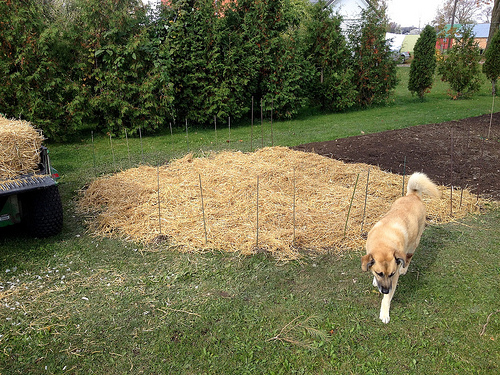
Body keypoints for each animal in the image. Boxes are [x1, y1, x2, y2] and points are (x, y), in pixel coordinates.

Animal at [362, 173, 440, 324]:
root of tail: (413, 195)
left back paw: (404, 268)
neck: (383, 242)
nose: (385, 291)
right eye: (380, 273)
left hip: (413, 244)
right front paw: (374, 280)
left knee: (408, 258)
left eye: (392, 274)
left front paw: (384, 313)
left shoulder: (394, 278)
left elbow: (386, 300)